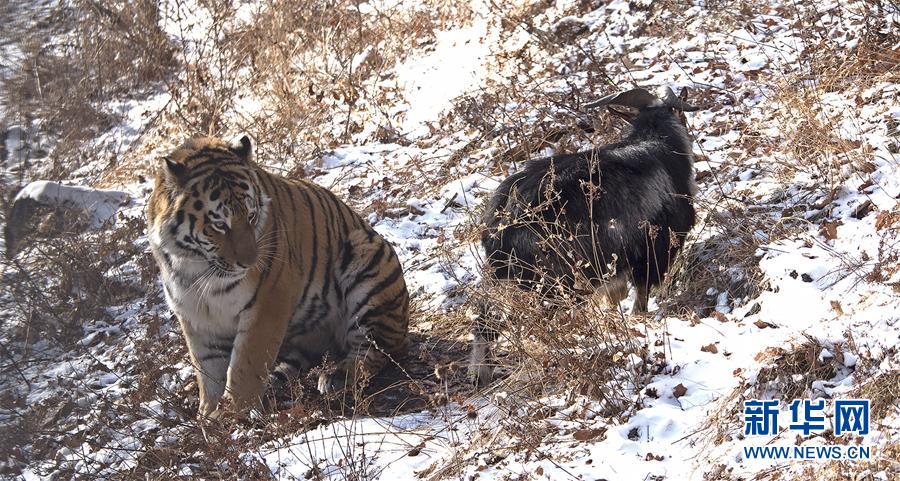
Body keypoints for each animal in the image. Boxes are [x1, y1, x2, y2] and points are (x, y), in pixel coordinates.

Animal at [149, 135, 412, 416]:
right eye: (219, 224)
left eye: (251, 217)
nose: (249, 263)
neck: (196, 268)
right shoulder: (196, 317)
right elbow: (208, 372)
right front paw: (208, 416)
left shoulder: (267, 303)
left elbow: (244, 364)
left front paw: (233, 414)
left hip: (367, 259)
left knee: (377, 350)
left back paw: (335, 377)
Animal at [472, 86, 704, 386]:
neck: (659, 147)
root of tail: (501, 223)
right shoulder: (653, 251)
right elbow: (641, 296)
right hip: (555, 281)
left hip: (507, 279)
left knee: (484, 320)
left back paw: (481, 373)